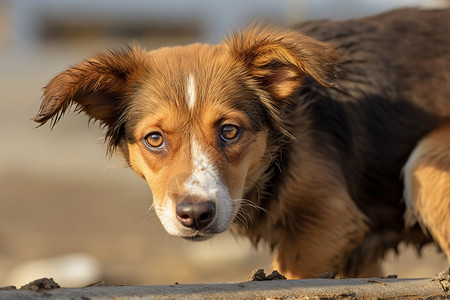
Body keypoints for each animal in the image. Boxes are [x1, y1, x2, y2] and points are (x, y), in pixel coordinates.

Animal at [32, 7, 450, 278]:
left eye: (230, 131)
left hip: (426, 160)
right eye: (154, 139)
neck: (275, 157)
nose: (195, 215)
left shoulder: (327, 225)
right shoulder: (355, 249)